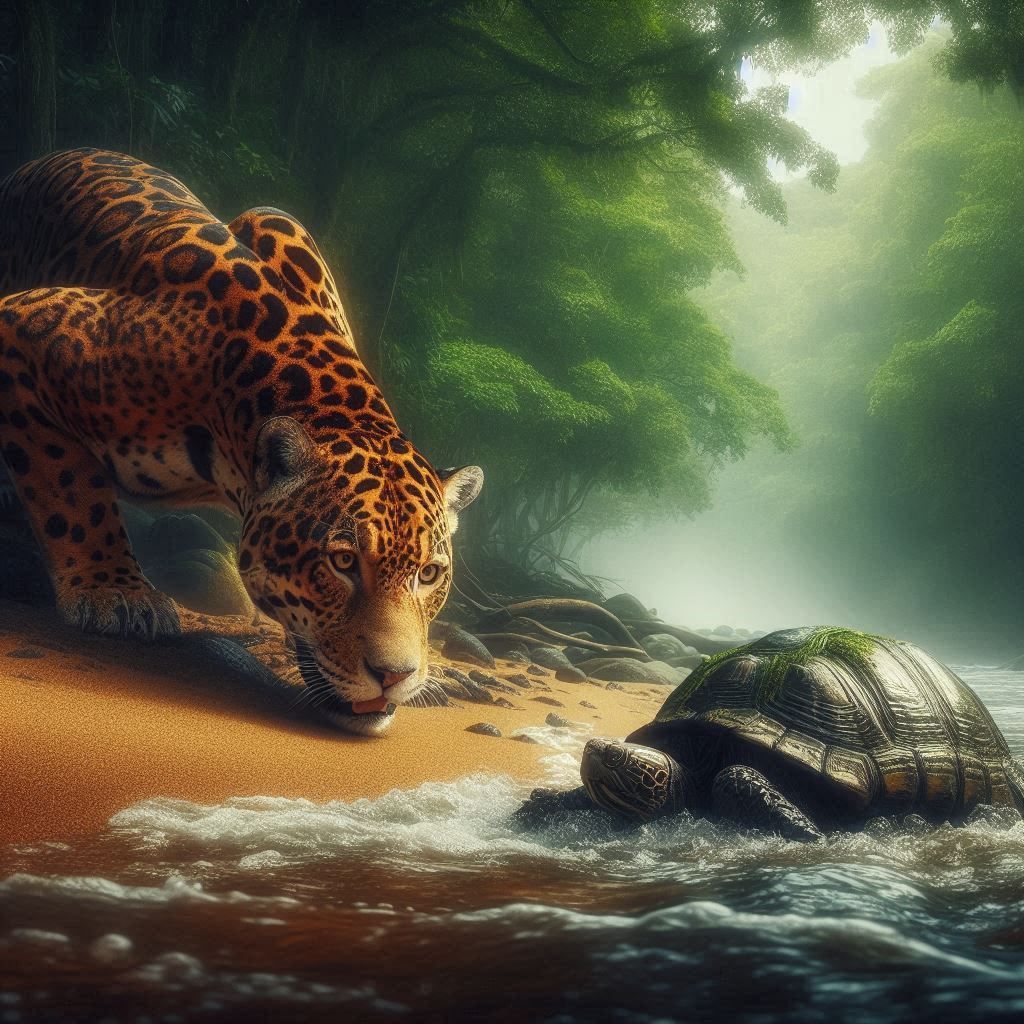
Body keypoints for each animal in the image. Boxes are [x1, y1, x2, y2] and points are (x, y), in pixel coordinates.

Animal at [0, 148, 483, 735]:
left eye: (429, 574)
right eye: (343, 562)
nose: (394, 676)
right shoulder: (25, 322)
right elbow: (69, 486)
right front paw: (115, 592)